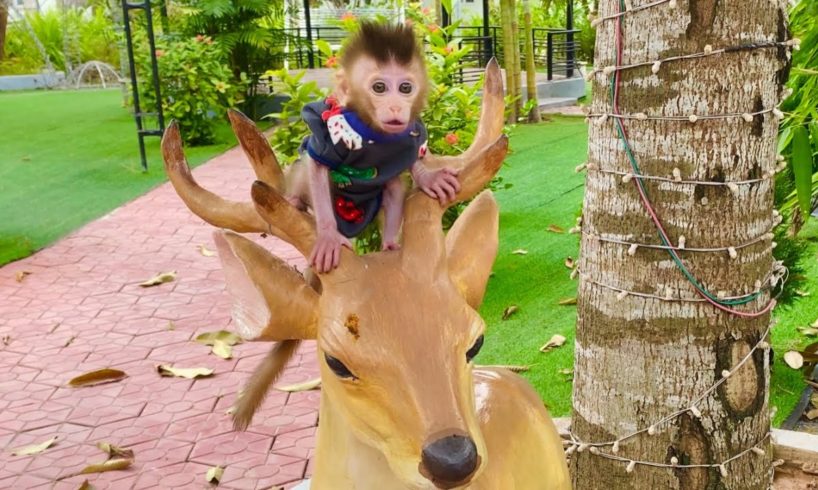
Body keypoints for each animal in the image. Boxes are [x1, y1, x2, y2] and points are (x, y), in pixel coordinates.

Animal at [286, 21, 460, 274]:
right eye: (379, 87)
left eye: (405, 88)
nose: (396, 107)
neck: (373, 130)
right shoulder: (329, 131)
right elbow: (317, 163)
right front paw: (328, 235)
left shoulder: (412, 129)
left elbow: (411, 157)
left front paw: (429, 177)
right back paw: (296, 201)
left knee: (394, 185)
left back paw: (389, 243)